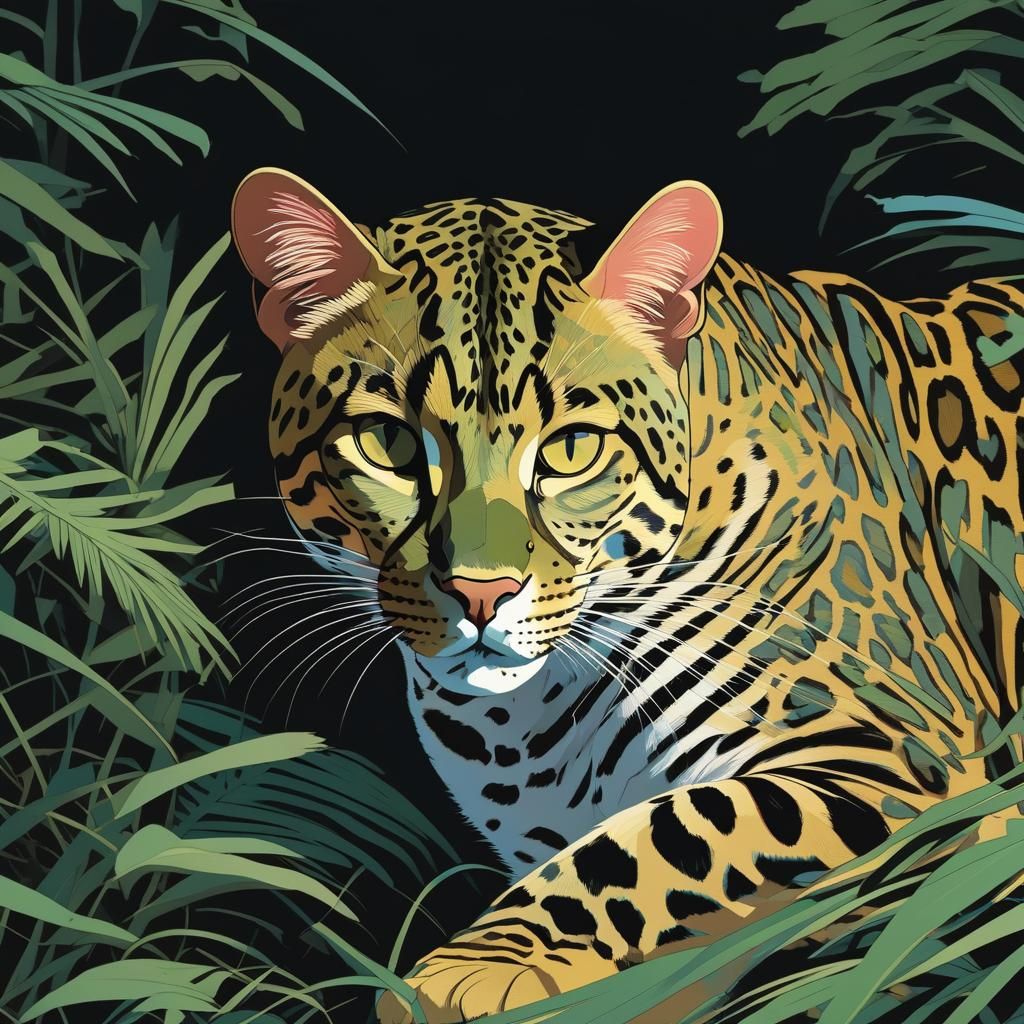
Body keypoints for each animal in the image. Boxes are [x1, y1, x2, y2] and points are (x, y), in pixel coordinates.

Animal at [230, 168, 1024, 1023]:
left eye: (574, 449)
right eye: (390, 443)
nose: (481, 594)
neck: (523, 716)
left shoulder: (908, 756)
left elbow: (668, 834)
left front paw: (470, 972)